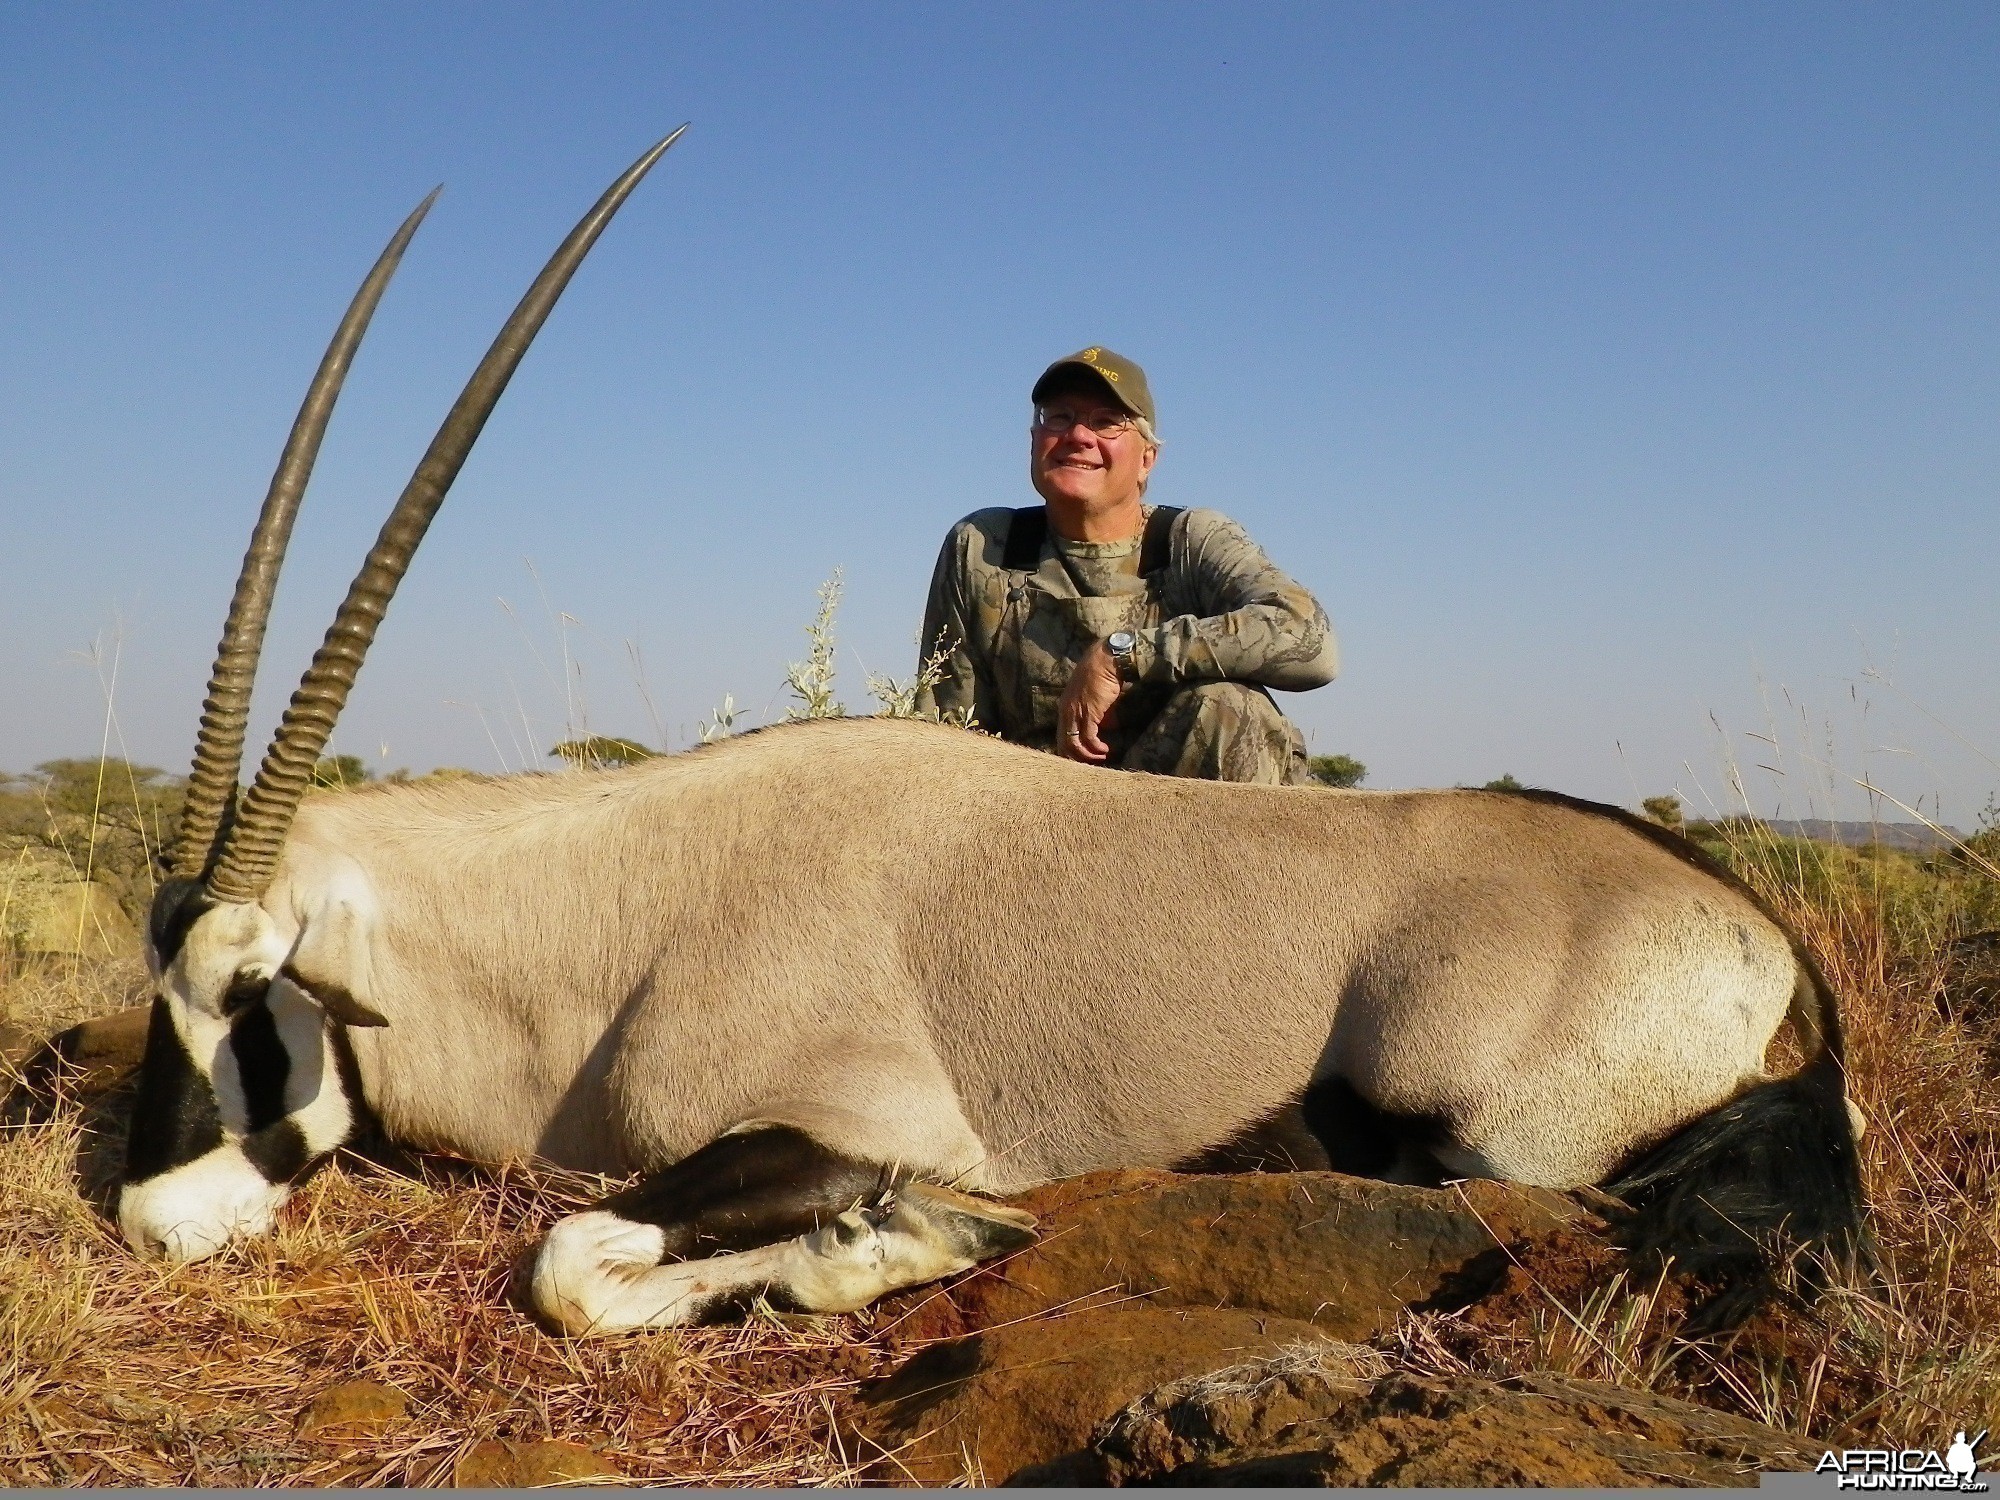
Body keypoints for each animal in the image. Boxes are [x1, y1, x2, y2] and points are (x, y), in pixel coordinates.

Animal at [117, 129, 1864, 1336]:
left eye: (256, 1008)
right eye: (159, 1000)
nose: (146, 1217)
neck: (606, 921)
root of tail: (1747, 925)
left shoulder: (860, 1120)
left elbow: (575, 1258)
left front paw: (918, 1236)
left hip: (1486, 1131)